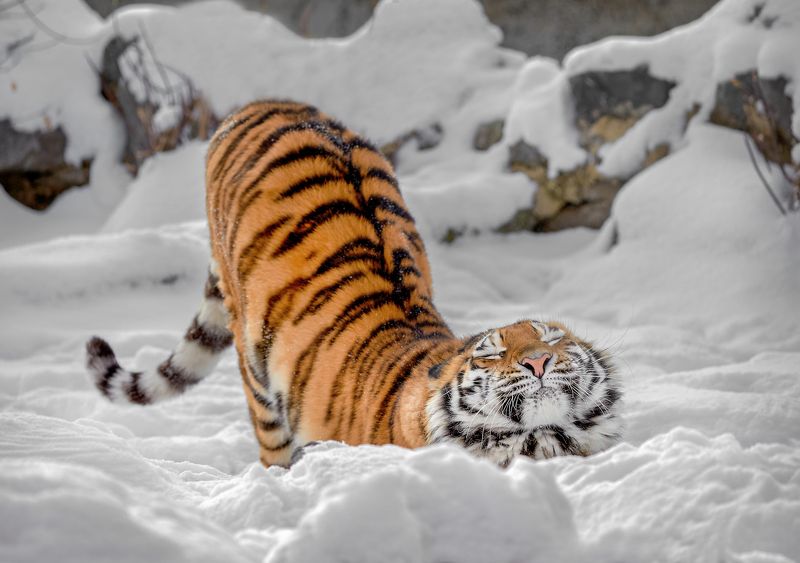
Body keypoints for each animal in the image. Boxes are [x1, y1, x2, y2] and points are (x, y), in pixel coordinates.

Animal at [86, 99, 622, 468]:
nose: (538, 361)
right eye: (491, 353)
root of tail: (263, 103)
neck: (539, 440)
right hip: (255, 366)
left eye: (553, 338)